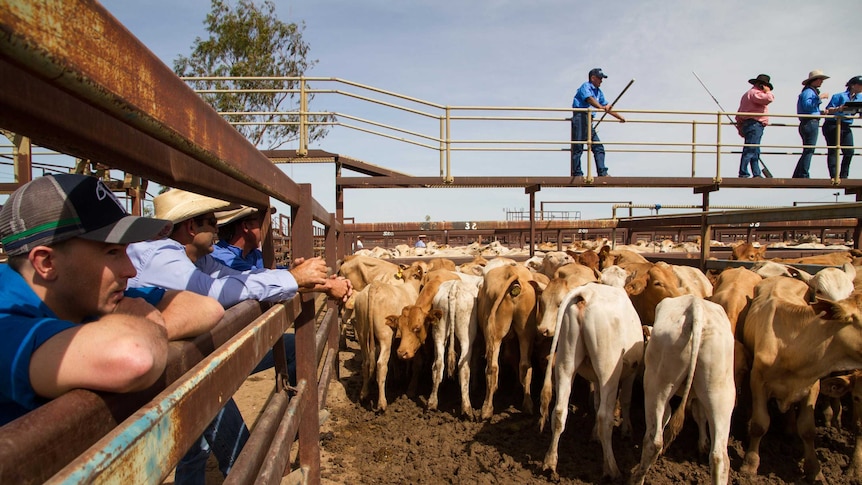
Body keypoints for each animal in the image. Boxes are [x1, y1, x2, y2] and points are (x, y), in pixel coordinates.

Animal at [428, 278, 482, 418]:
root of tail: (454, 288)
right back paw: (467, 409)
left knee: (438, 364)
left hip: (439, 330)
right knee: (463, 366)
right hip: (467, 334)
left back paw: (432, 403)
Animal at [480, 262, 540, 418]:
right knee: (525, 365)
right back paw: (527, 406)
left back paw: (487, 409)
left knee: (492, 368)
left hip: (494, 334)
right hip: (526, 330)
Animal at [536, 282, 644, 478]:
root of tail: (586, 293)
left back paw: (549, 462)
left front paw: (594, 436)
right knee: (605, 416)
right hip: (608, 368)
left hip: (566, 360)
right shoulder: (631, 372)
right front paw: (626, 431)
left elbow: (596, 401)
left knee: (559, 411)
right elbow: (625, 400)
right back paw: (611, 468)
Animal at [636, 294, 736, 484]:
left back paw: (636, 477)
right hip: (721, 392)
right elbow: (700, 414)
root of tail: (696, 308)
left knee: (654, 441)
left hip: (657, 385)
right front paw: (702, 443)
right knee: (720, 456)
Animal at [740, 276, 862, 480]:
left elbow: (807, 429)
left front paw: (814, 470)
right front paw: (749, 465)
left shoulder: (812, 386)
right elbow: (759, 424)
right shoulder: (757, 381)